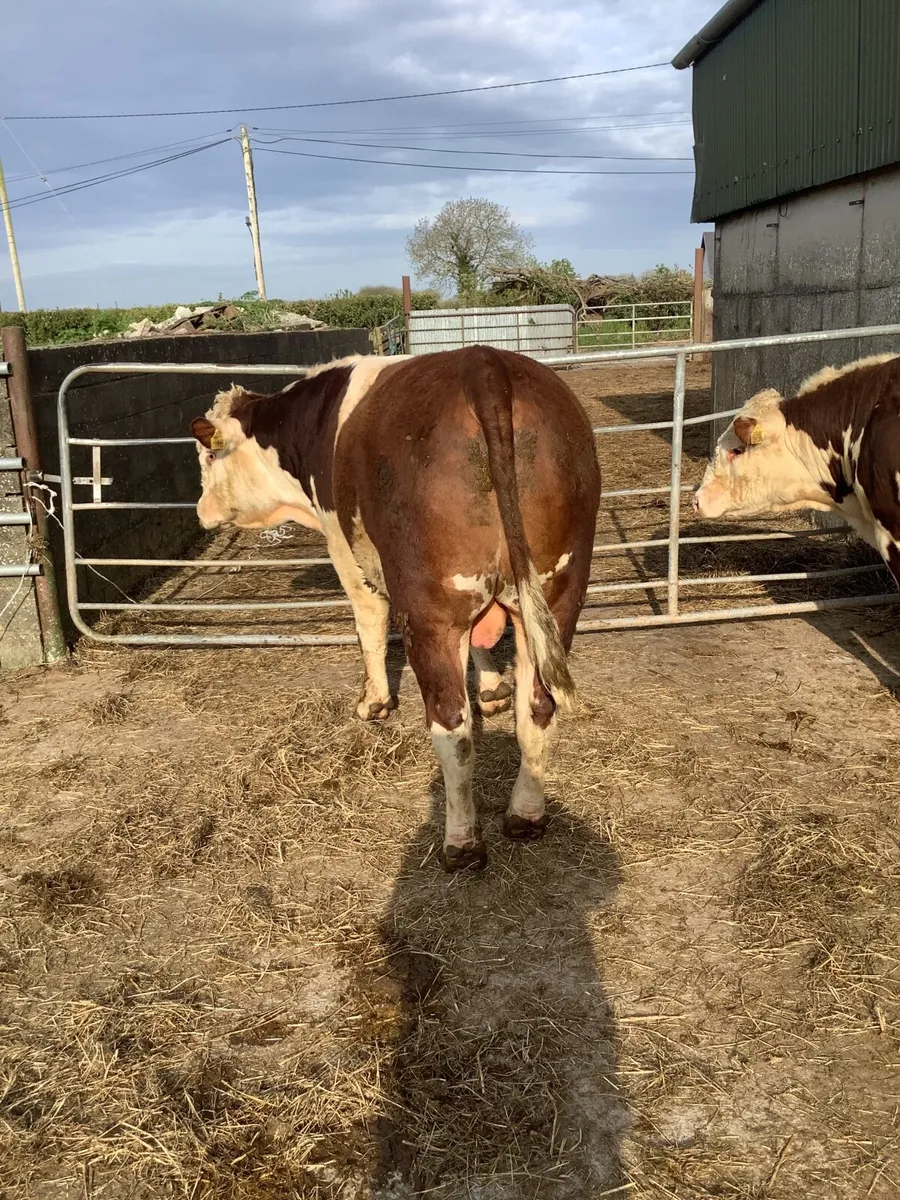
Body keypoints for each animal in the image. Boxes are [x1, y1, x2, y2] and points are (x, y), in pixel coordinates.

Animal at [190, 346, 601, 871]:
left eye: (208, 454)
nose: (200, 511)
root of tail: (484, 364)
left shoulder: (343, 546)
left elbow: (368, 623)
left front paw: (374, 702)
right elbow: (483, 647)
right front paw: (491, 687)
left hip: (430, 611)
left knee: (453, 727)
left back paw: (461, 843)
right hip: (556, 594)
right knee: (538, 708)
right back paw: (525, 815)